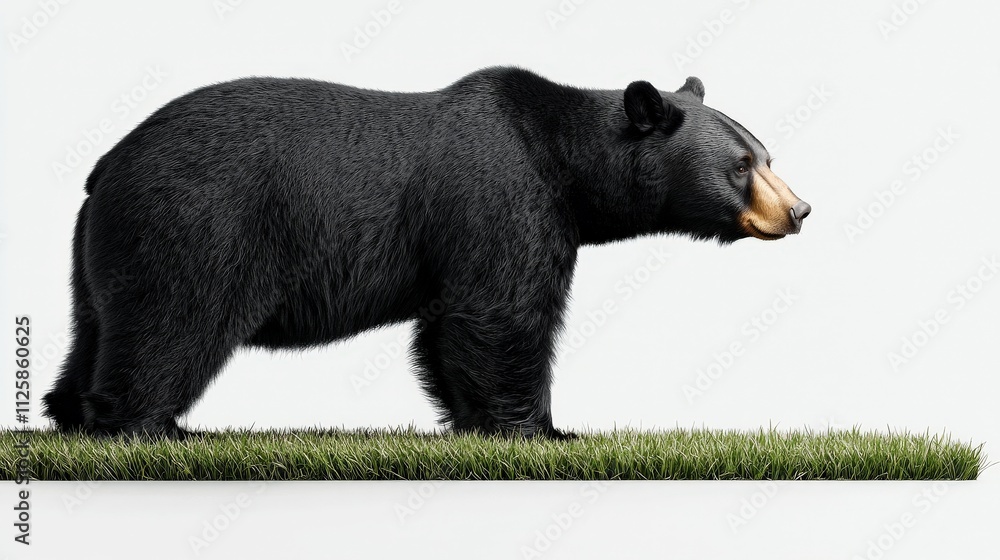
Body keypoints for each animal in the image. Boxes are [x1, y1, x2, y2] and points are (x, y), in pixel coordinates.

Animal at [42, 66, 810, 439]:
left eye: (767, 155)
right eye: (742, 164)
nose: (799, 210)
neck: (565, 158)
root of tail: (106, 164)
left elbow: (451, 329)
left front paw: (478, 424)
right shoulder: (502, 196)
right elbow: (503, 313)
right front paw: (538, 430)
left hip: (99, 247)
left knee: (96, 323)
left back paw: (69, 412)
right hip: (196, 224)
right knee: (172, 322)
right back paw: (150, 427)